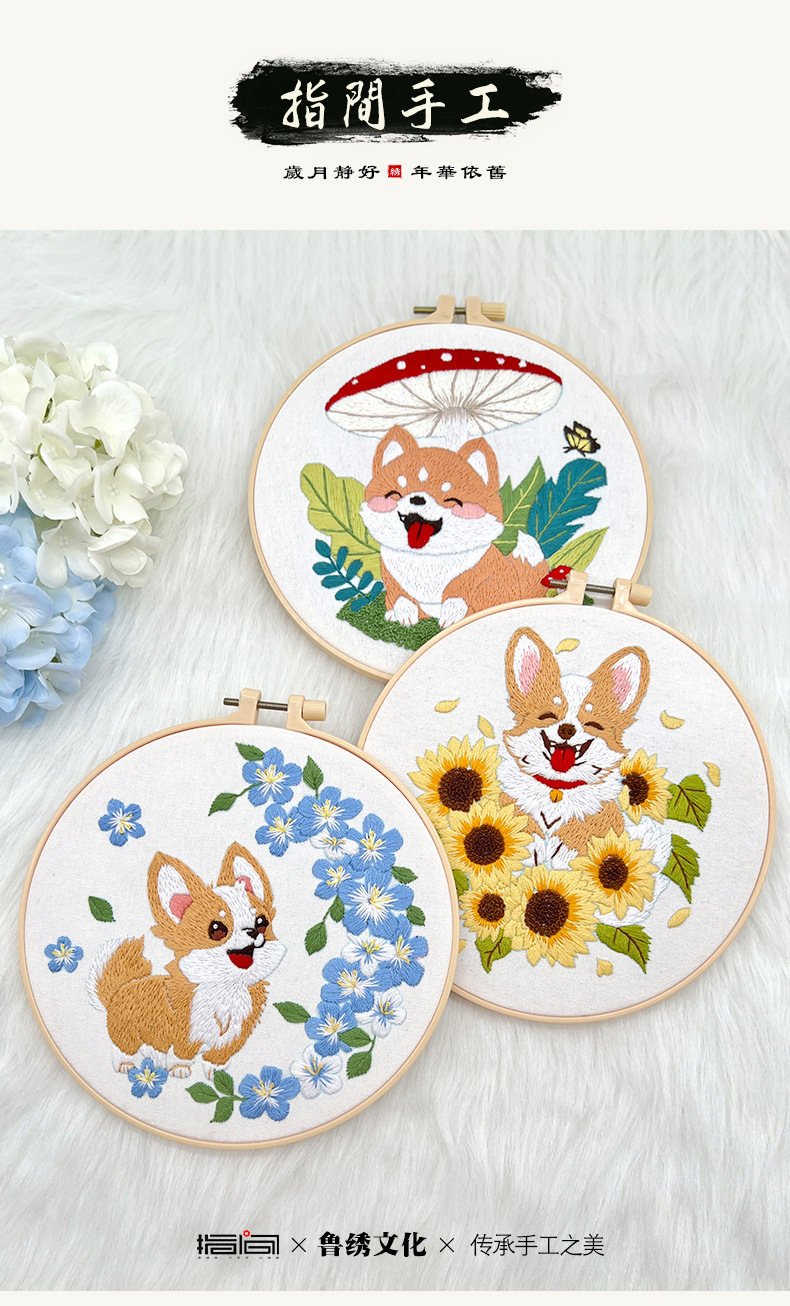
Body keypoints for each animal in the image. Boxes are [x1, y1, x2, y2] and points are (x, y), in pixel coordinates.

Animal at [87, 842, 285, 1080]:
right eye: (216, 929)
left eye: (262, 922)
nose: (253, 931)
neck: (228, 987)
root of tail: (121, 988)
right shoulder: (185, 1031)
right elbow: (182, 1053)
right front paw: (180, 1069)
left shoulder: (234, 1036)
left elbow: (218, 1057)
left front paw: (217, 1074)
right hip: (126, 1030)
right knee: (124, 1048)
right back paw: (126, 1065)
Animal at [359, 425, 548, 629]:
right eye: (396, 493)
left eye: (451, 500)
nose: (417, 498)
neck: (428, 559)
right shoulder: (393, 578)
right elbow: (402, 597)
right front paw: (404, 613)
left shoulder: (475, 573)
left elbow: (457, 593)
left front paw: (452, 614)